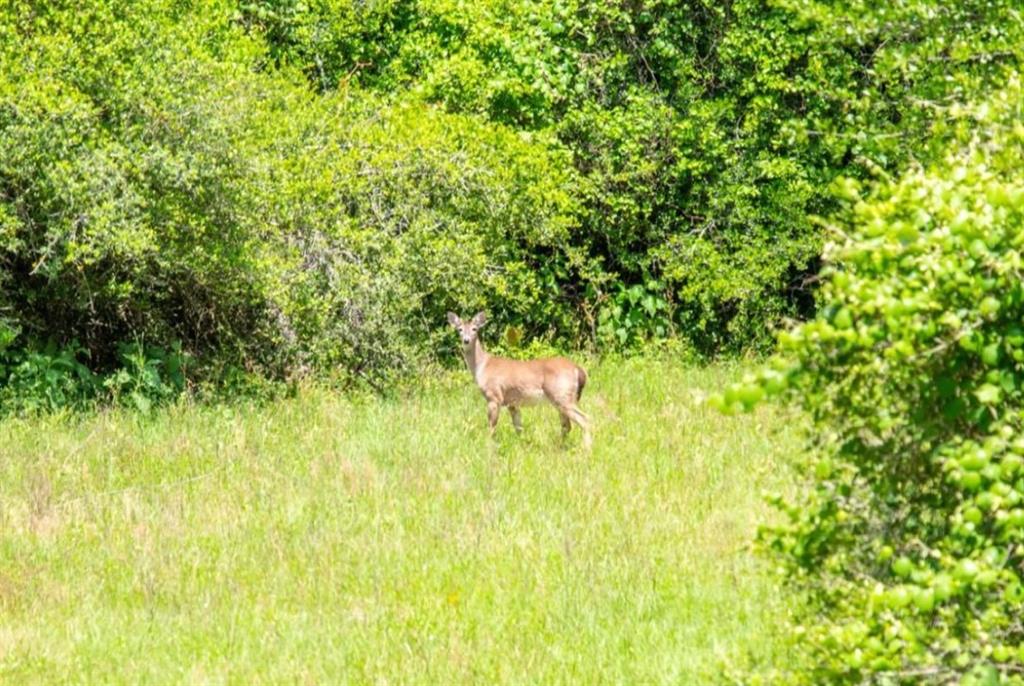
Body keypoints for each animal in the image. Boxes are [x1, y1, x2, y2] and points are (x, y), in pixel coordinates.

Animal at [448, 313, 593, 450]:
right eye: (460, 329)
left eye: (474, 328)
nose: (466, 340)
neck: (482, 366)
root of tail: (577, 369)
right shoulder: (513, 403)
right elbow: (519, 428)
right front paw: (522, 446)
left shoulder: (494, 396)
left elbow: (492, 427)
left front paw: (488, 446)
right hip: (561, 398)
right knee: (567, 425)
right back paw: (559, 446)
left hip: (561, 394)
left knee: (585, 419)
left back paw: (586, 449)